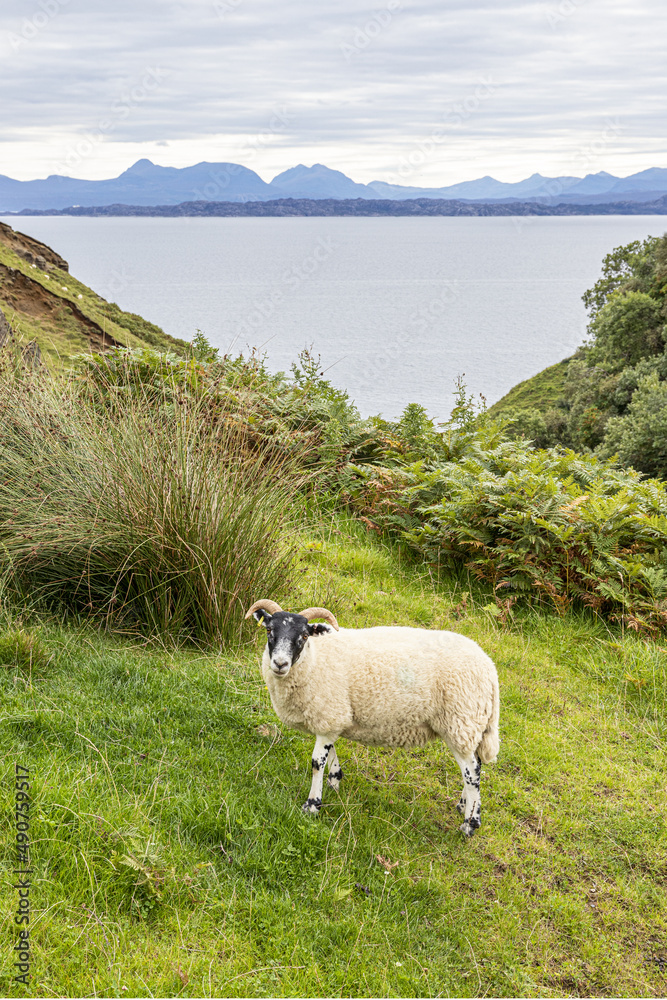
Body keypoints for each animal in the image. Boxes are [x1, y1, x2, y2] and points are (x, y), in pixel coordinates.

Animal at [245, 599, 500, 837]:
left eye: (305, 635)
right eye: (269, 630)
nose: (280, 664)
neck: (314, 658)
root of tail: (489, 667)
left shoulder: (328, 715)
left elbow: (317, 763)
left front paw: (312, 805)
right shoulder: (332, 718)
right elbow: (331, 753)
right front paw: (335, 780)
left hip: (460, 721)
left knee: (472, 773)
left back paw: (470, 823)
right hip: (467, 726)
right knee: (474, 767)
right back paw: (463, 805)